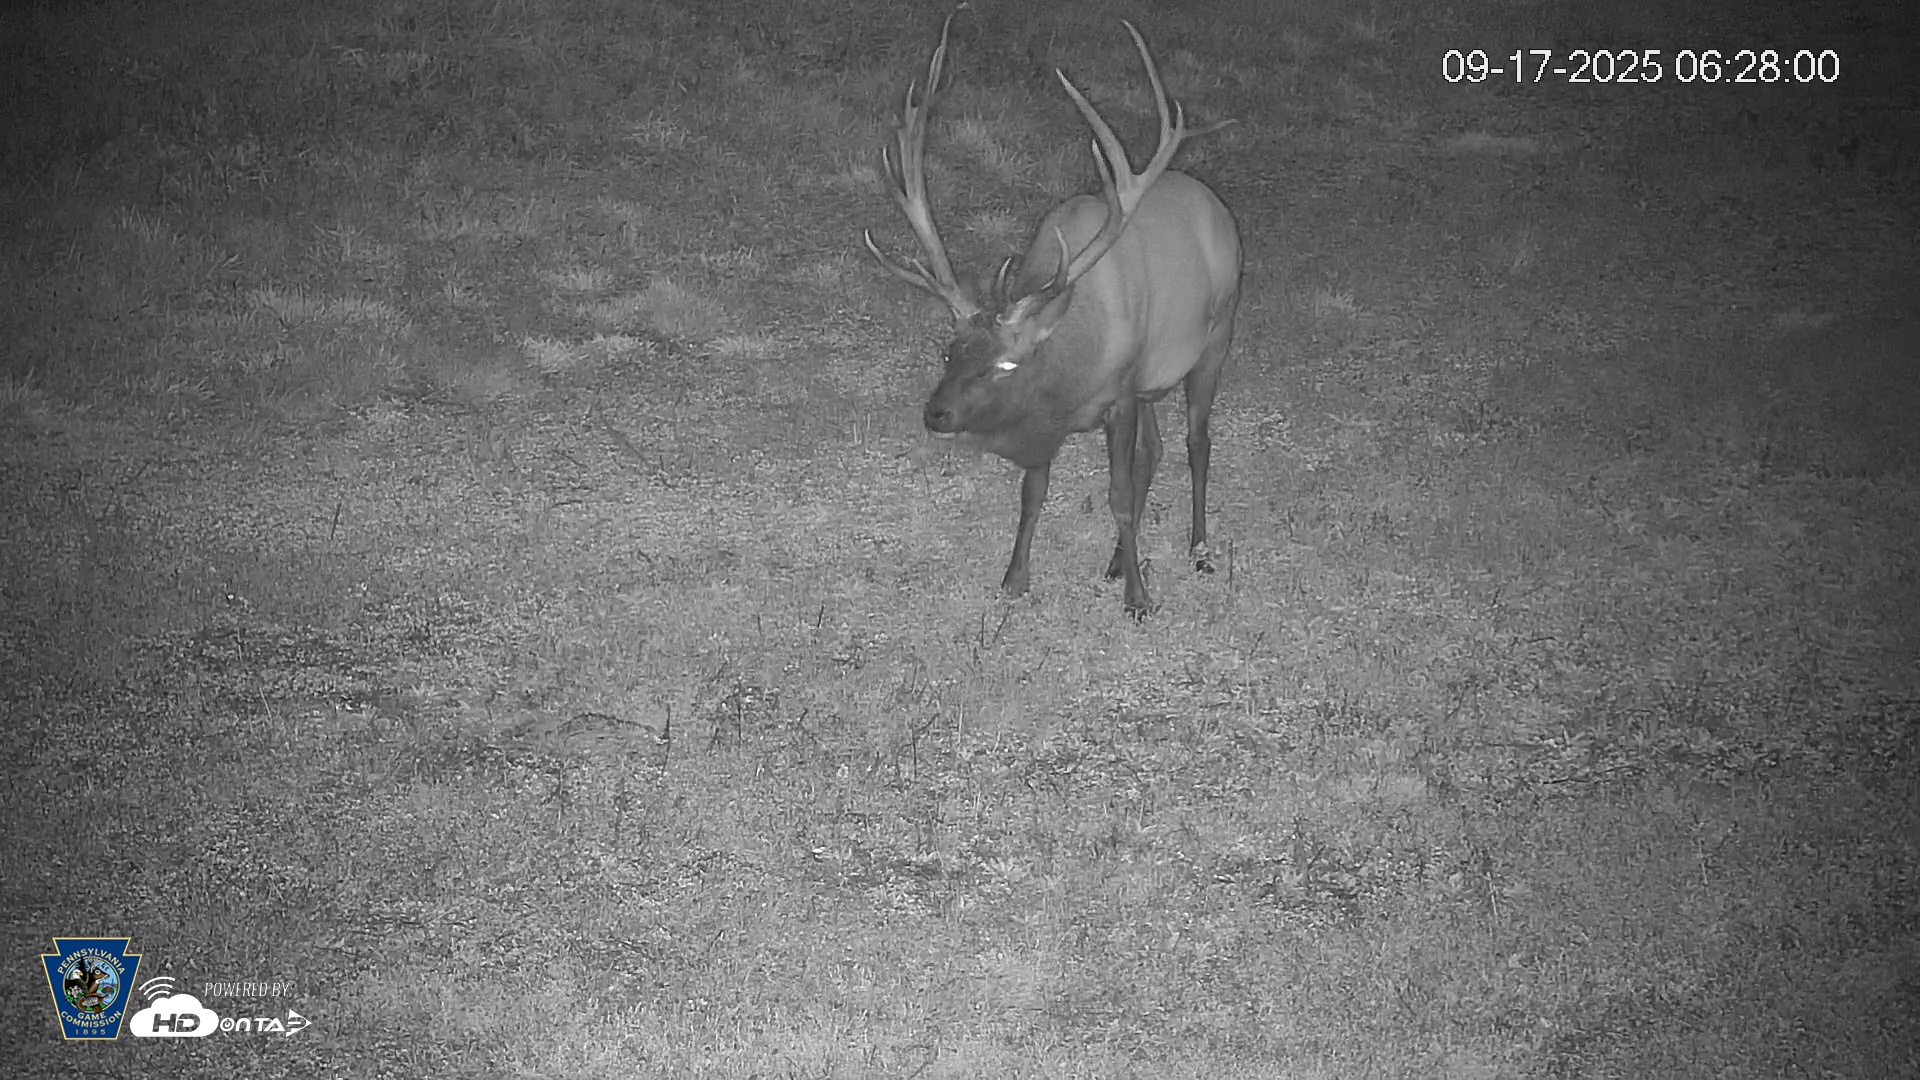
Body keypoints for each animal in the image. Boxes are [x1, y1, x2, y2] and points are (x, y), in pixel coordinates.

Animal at [865, 16, 1241, 618]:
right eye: (949, 351)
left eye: (1003, 366)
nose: (936, 413)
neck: (1074, 363)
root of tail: (1215, 205)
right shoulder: (1079, 405)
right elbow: (1033, 492)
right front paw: (1015, 578)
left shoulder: (1119, 395)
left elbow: (1118, 495)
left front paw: (1140, 599)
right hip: (1153, 375)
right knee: (1155, 450)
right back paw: (1117, 561)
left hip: (1217, 334)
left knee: (1196, 443)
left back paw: (1199, 550)